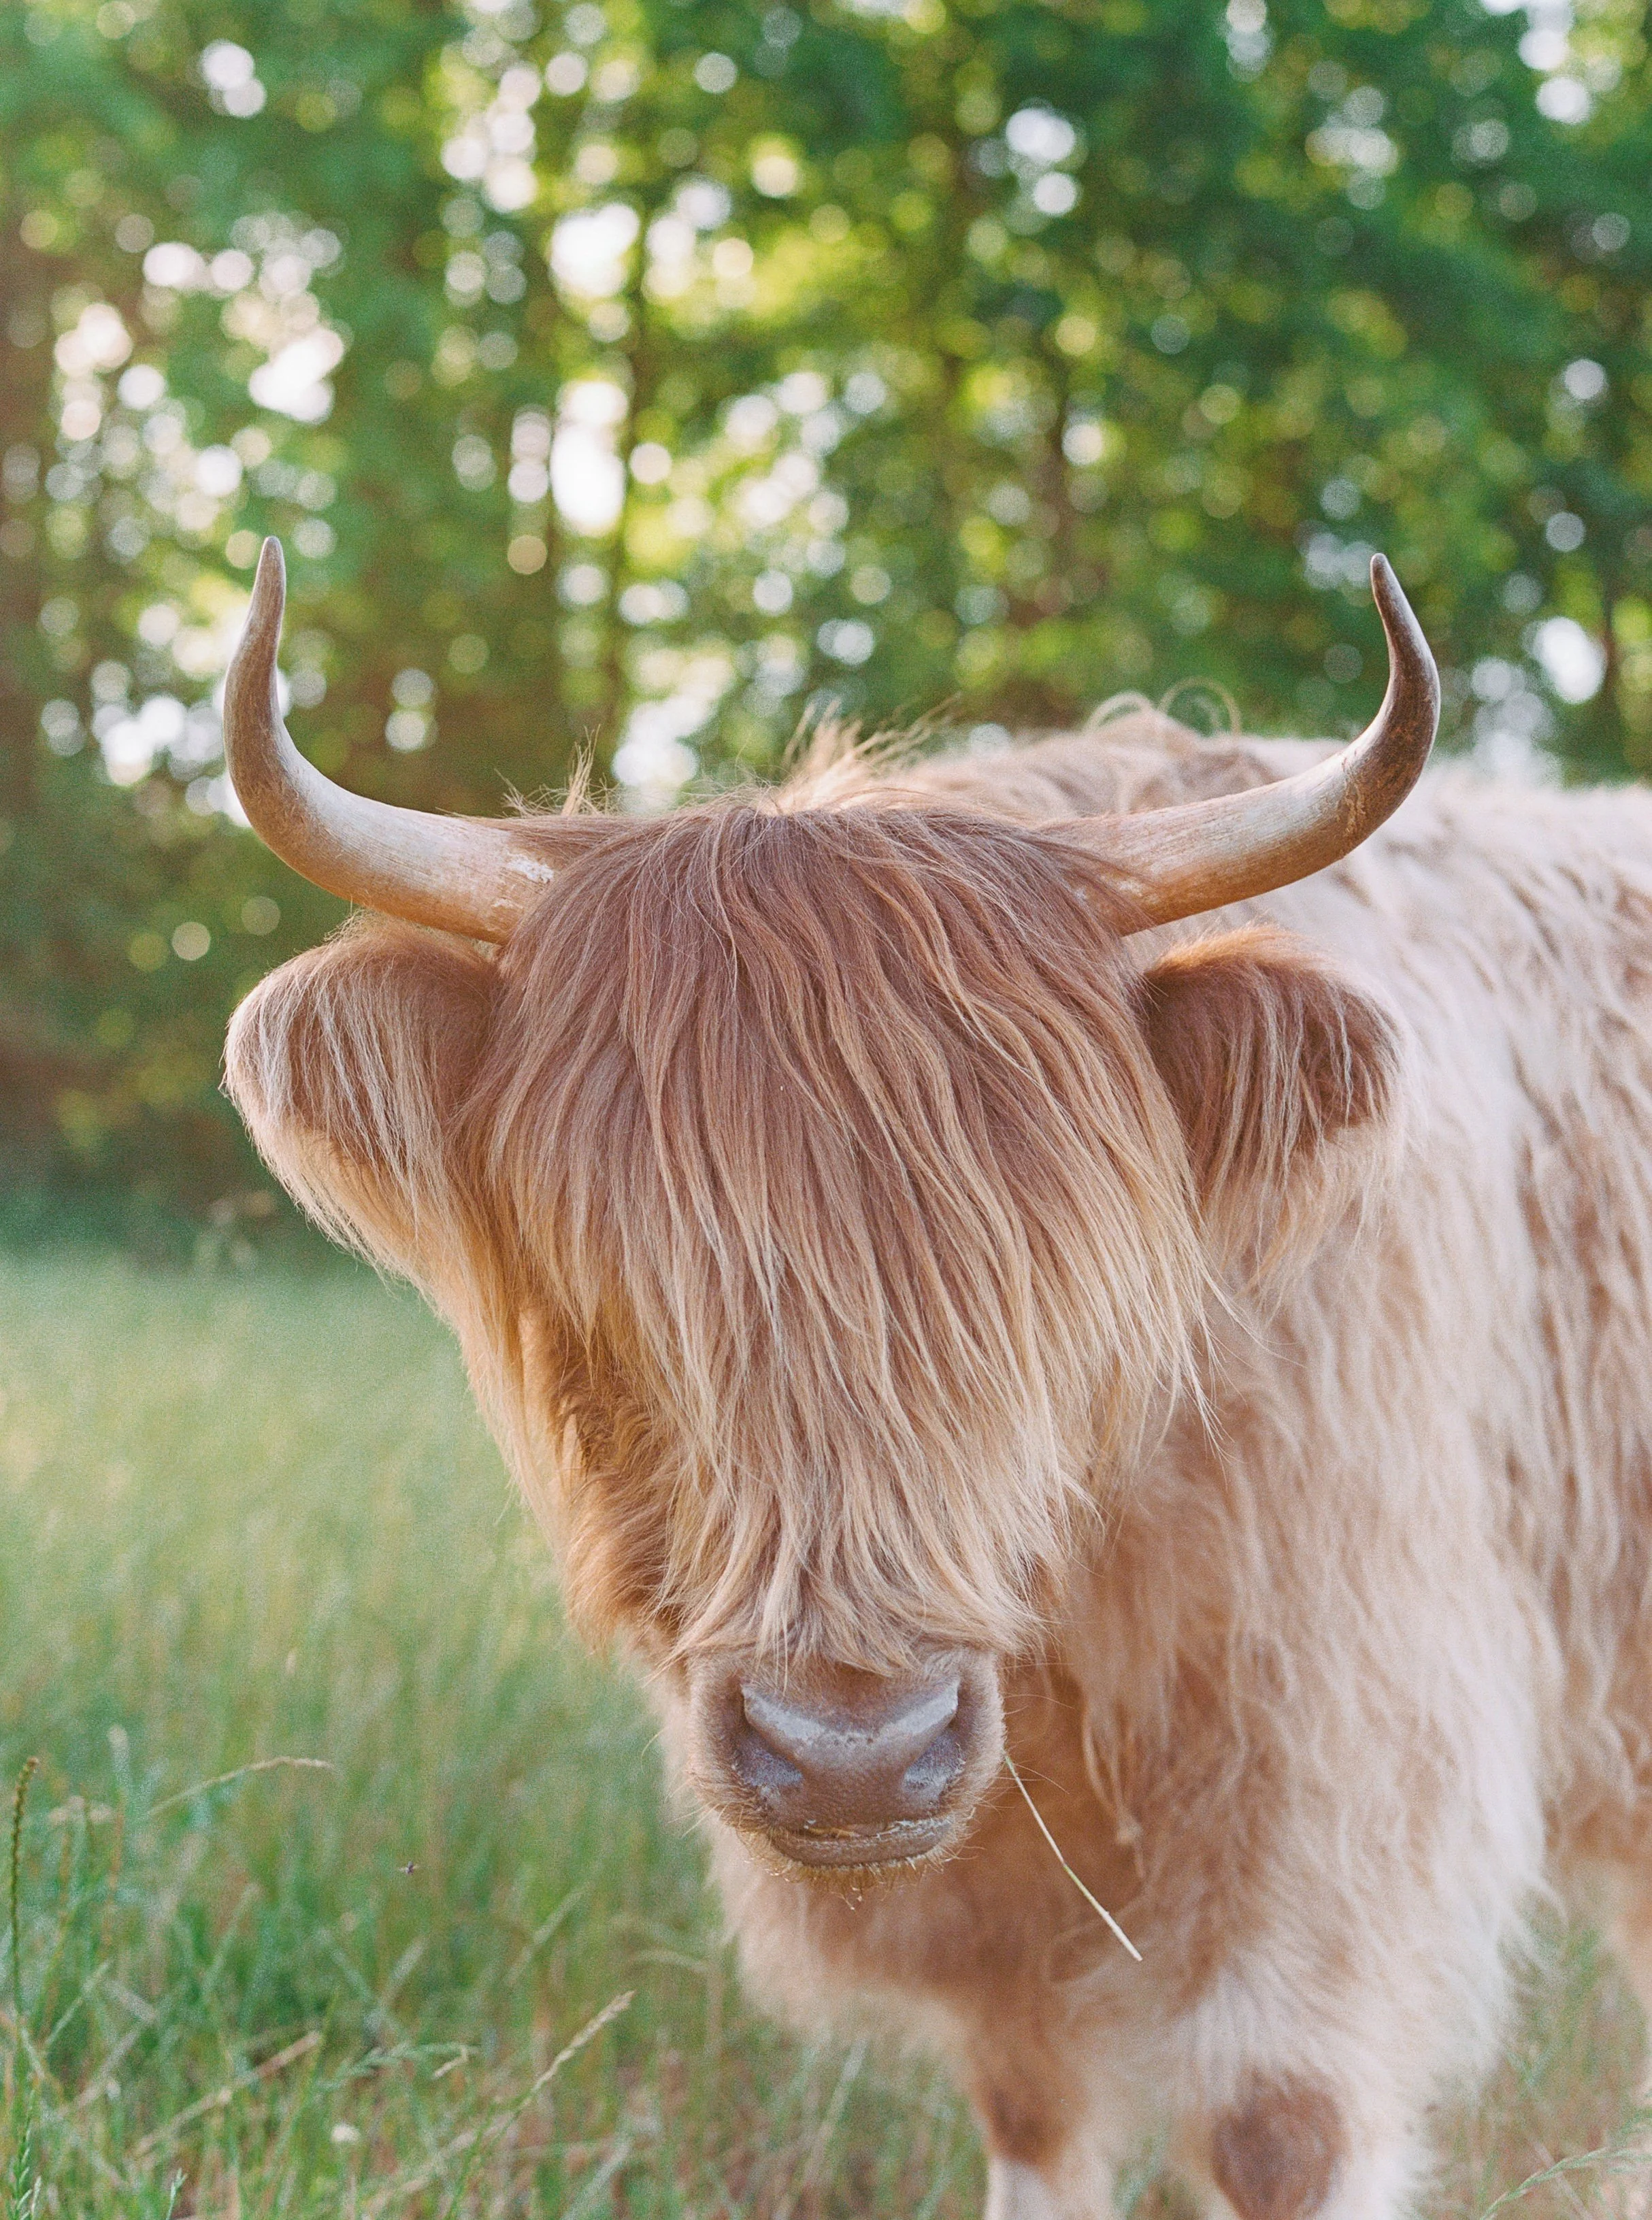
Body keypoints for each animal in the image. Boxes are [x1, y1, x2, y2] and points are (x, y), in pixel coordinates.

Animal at [220, 533, 1652, 2220]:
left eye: (1059, 1265)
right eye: (619, 1262)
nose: (851, 1751)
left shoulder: (1341, 1771)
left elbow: (1272, 2124)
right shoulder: (996, 1924)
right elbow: (1030, 2110)